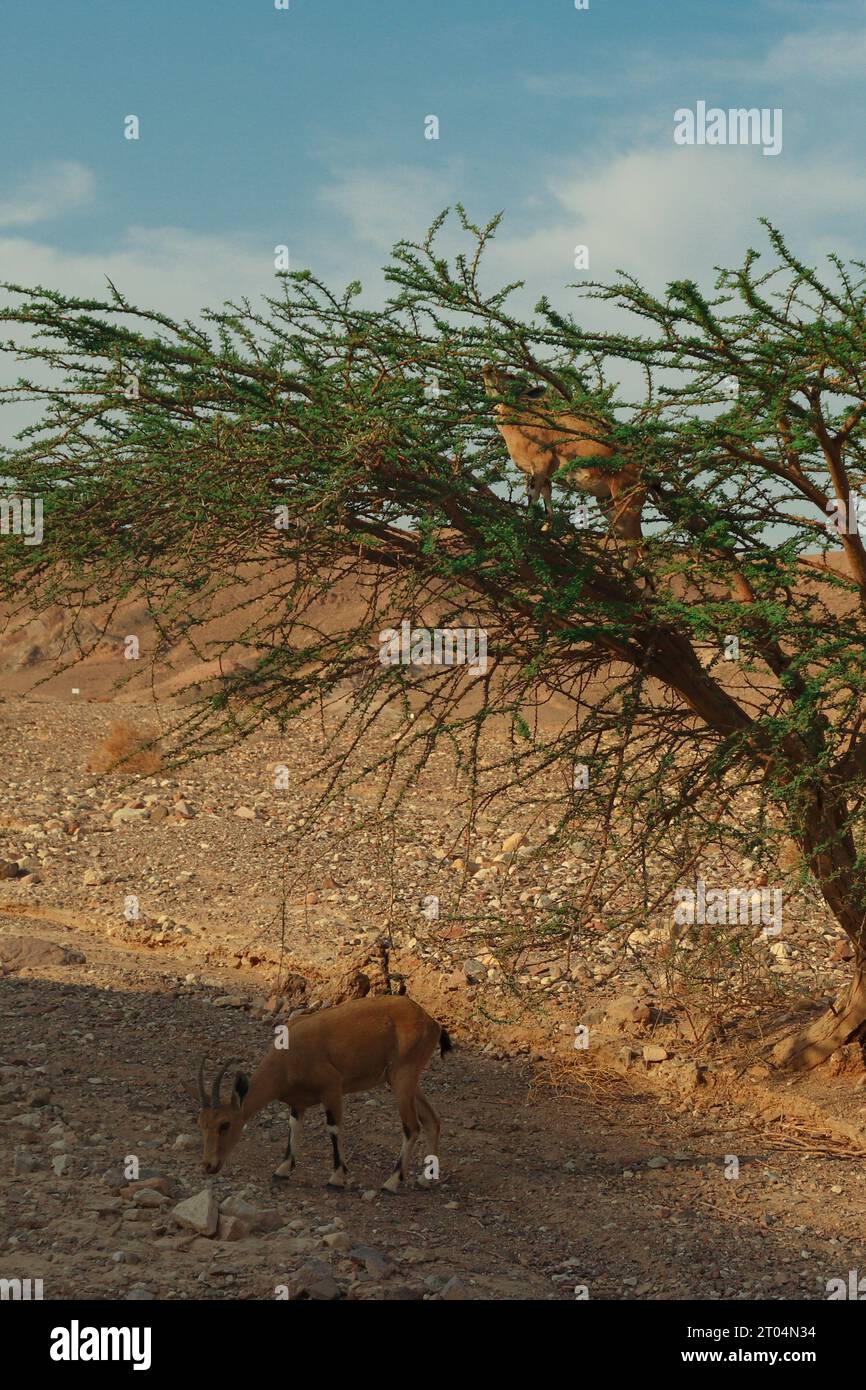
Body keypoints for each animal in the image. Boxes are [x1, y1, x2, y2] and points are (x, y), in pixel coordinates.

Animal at [197, 1000, 453, 1195]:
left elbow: (333, 1128)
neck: (289, 1056)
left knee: (412, 1126)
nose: (208, 1165)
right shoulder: (298, 1102)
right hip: (403, 1079)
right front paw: (282, 1169)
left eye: (225, 1124)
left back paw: (392, 1182)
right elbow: (294, 1125)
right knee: (432, 1120)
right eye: (202, 1123)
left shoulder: (332, 1089)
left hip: (403, 1076)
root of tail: (431, 1022)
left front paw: (336, 1178)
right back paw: (425, 1179)